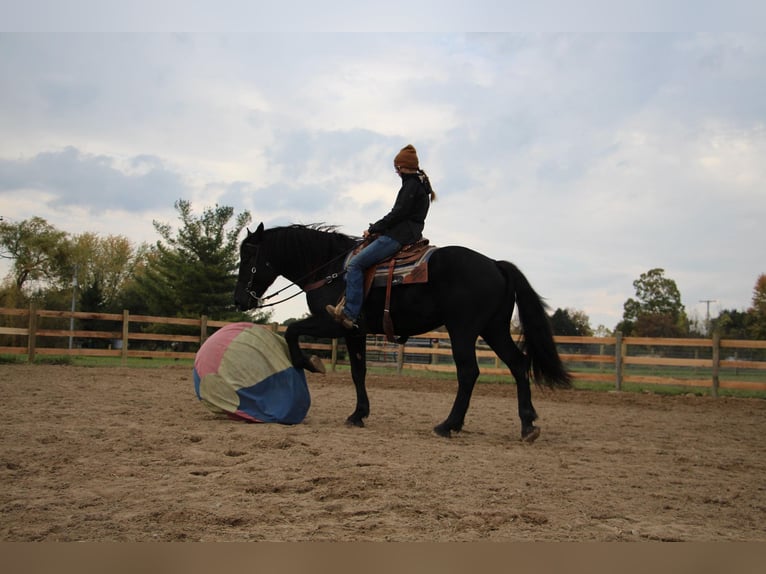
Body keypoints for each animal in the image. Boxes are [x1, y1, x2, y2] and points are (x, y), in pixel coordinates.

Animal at [237, 223, 572, 444]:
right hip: (494, 329)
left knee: (469, 372)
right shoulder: (355, 332)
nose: (240, 300)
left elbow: (293, 331)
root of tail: (495, 264)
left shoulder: (333, 322)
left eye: (248, 257)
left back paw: (448, 425)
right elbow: (358, 371)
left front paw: (308, 363)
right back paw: (527, 425)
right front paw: (358, 415)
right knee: (517, 364)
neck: (330, 270)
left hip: (463, 330)